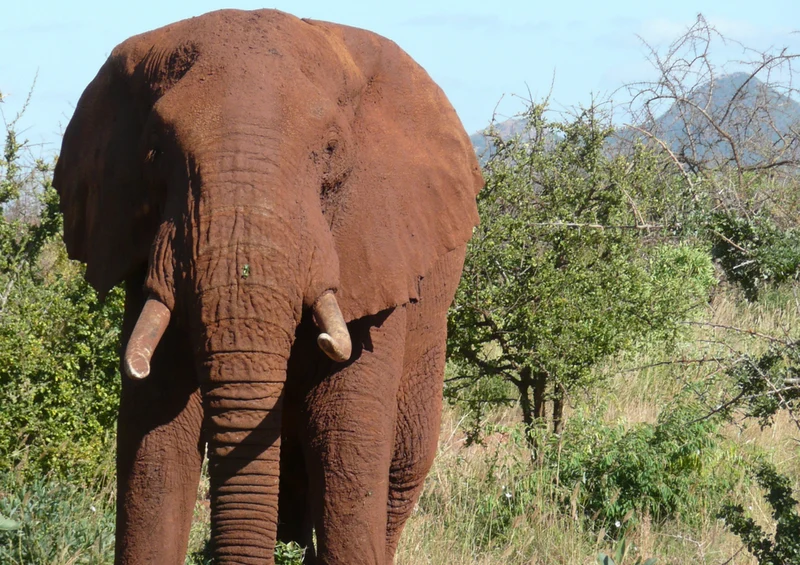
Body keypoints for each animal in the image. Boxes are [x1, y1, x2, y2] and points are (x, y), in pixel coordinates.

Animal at [52, 8, 482, 565]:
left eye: (331, 150)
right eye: (155, 151)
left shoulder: (378, 248)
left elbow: (347, 440)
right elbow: (155, 439)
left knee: (402, 466)